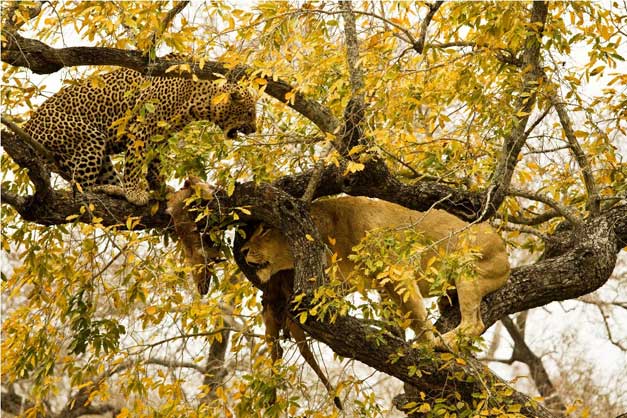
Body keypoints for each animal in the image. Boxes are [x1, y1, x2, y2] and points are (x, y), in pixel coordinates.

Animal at [22, 60, 258, 206]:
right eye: (250, 112)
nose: (254, 129)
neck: (198, 99)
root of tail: (27, 127)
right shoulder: (142, 128)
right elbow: (135, 163)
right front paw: (135, 193)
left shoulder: (161, 135)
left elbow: (155, 164)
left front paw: (160, 187)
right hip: (88, 136)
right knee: (80, 186)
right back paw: (112, 190)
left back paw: (115, 189)